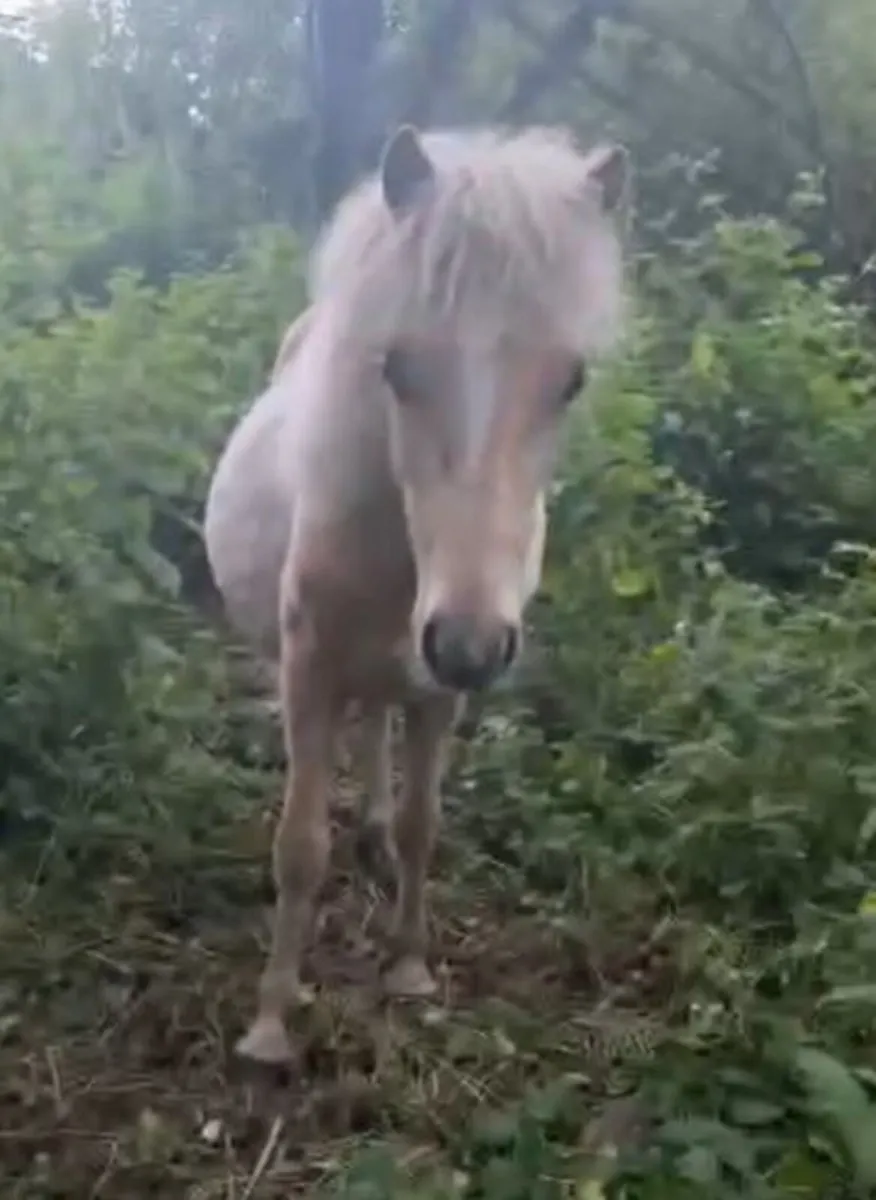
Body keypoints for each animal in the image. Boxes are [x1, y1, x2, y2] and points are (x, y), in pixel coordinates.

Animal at [204, 124, 630, 1064]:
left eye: (572, 381)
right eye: (395, 367)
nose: (468, 642)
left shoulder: (439, 694)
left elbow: (421, 823)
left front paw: (407, 968)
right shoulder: (310, 673)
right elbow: (299, 846)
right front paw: (270, 1022)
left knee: (378, 734)